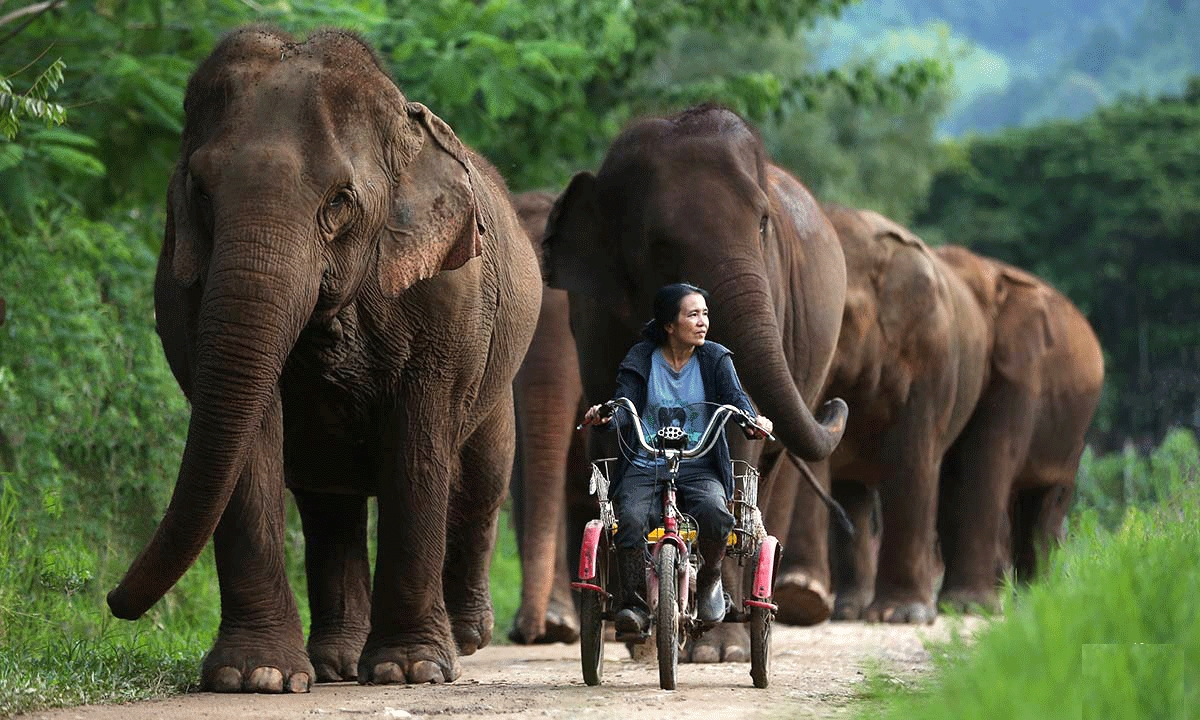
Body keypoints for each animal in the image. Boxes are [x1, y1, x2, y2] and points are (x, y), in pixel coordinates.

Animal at [108, 28, 540, 691]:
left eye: (340, 200)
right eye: (200, 192)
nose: (113, 602)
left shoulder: (448, 299)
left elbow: (418, 449)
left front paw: (409, 671)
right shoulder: (183, 291)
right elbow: (250, 442)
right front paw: (254, 676)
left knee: (481, 481)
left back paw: (465, 637)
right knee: (329, 503)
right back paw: (336, 664)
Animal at [544, 103, 854, 662]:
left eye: (763, 224)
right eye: (660, 245)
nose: (836, 404)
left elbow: (736, 431)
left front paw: (718, 649)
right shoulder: (592, 311)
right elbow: (611, 420)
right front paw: (637, 627)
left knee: (762, 486)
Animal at [772, 204, 988, 624]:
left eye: (839, 312)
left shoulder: (931, 350)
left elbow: (913, 454)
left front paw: (903, 615)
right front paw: (799, 597)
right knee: (852, 491)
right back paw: (846, 609)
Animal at [931, 244, 1099, 609]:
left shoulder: (1023, 371)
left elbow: (991, 454)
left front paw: (971, 605)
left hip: (1072, 441)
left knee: (1046, 503)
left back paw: (1034, 593)